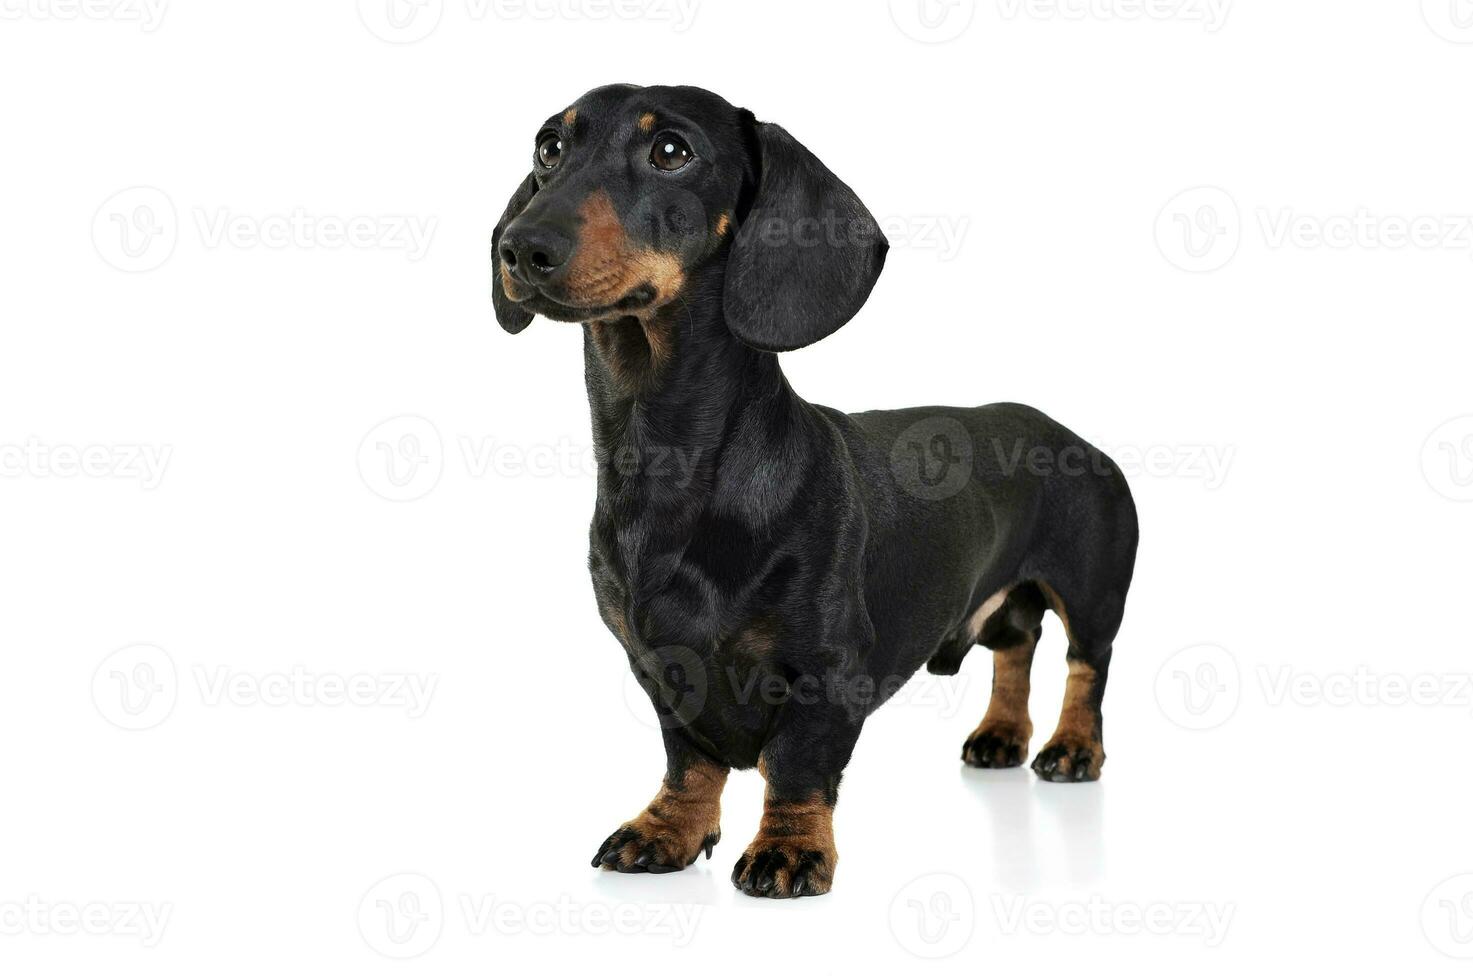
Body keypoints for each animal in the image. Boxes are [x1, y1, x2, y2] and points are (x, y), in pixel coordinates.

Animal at [494, 84, 1137, 896]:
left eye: (671, 151)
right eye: (549, 147)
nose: (521, 247)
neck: (663, 460)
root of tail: (1070, 430)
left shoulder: (828, 669)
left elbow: (798, 764)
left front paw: (789, 849)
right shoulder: (658, 667)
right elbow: (688, 760)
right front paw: (667, 831)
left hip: (1093, 590)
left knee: (1087, 666)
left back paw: (1072, 748)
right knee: (1016, 646)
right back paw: (1000, 736)